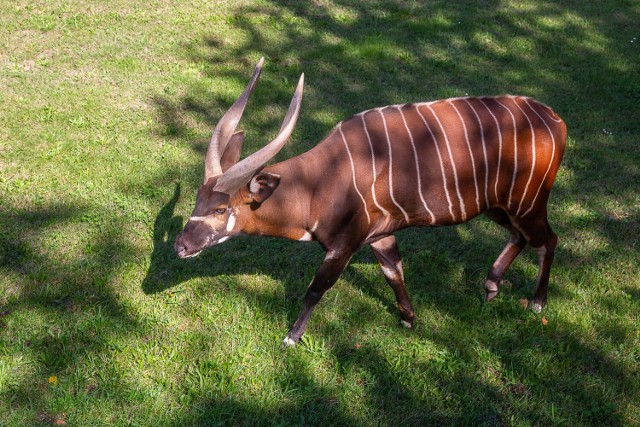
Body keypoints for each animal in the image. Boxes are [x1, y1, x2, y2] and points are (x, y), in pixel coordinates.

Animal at [174, 58, 564, 348]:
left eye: (220, 209)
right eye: (197, 200)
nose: (180, 246)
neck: (319, 182)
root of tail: (556, 120)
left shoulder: (343, 245)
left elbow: (316, 289)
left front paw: (290, 338)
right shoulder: (380, 236)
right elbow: (394, 273)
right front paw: (409, 319)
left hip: (527, 203)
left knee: (548, 239)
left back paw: (537, 302)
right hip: (500, 207)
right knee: (521, 237)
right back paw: (491, 285)